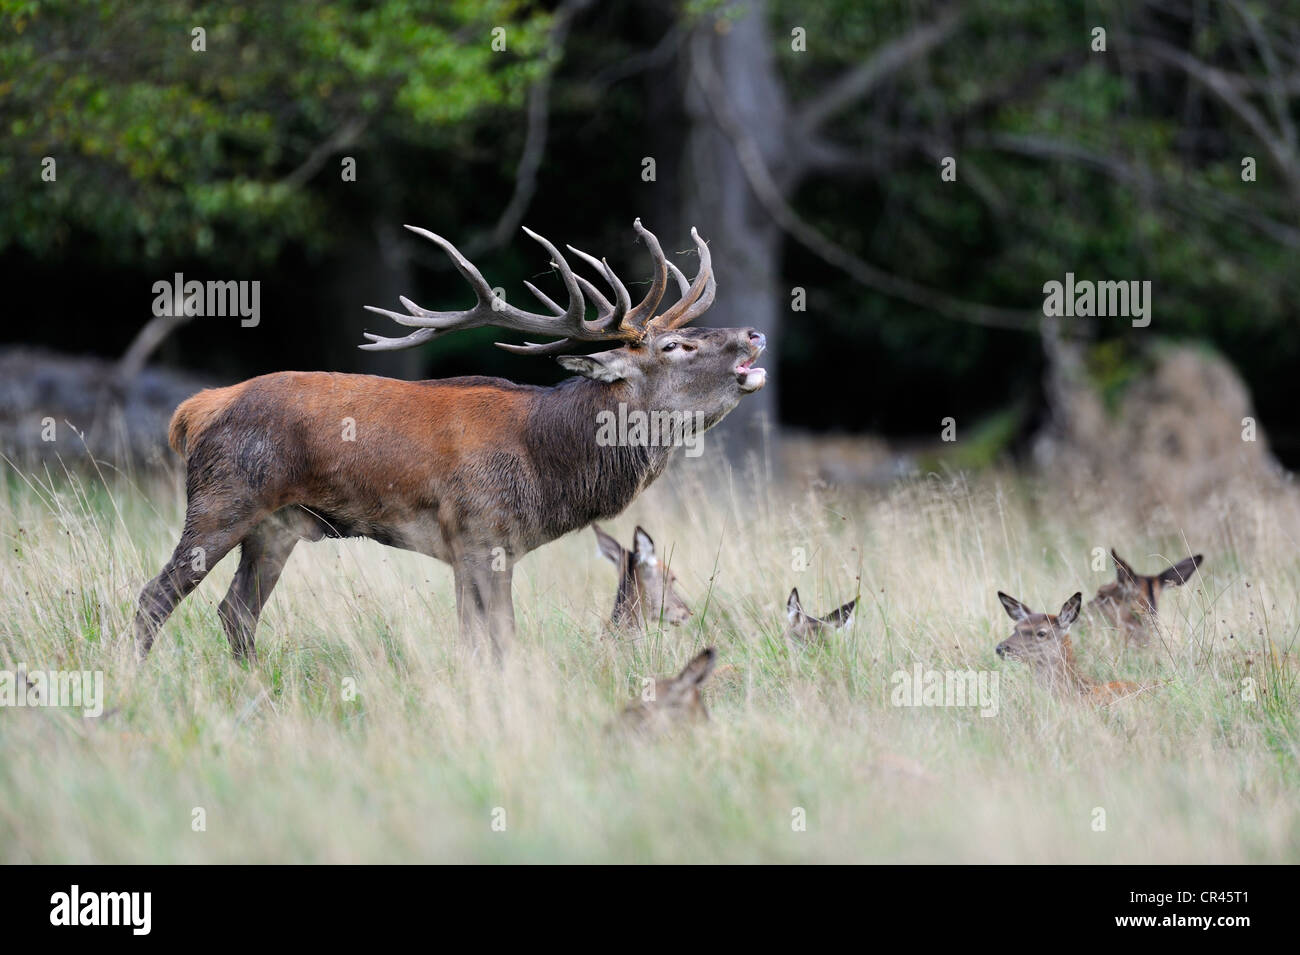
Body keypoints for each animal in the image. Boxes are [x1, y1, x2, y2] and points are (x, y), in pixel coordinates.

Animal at [134, 220, 759, 660]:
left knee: (236, 613)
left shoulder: (468, 550)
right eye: (673, 347)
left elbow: (473, 642)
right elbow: (501, 640)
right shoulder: (485, 533)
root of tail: (196, 408)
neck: (547, 465)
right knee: (154, 599)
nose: (753, 334)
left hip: (277, 526)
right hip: (222, 500)